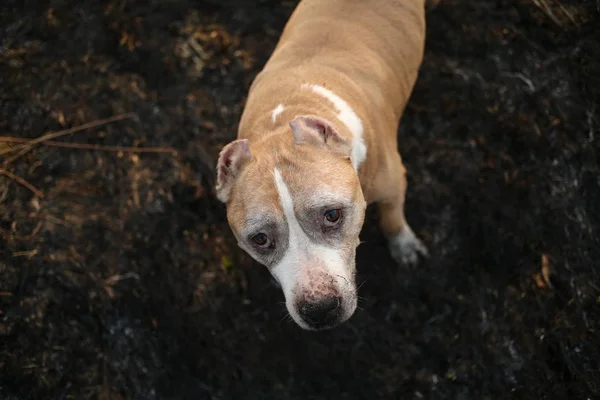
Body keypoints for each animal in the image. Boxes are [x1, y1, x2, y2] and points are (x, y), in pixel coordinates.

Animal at [214, 0, 426, 332]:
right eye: (260, 239)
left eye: (333, 215)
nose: (320, 310)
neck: (291, 108)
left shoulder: (394, 182)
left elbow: (392, 216)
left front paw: (404, 246)